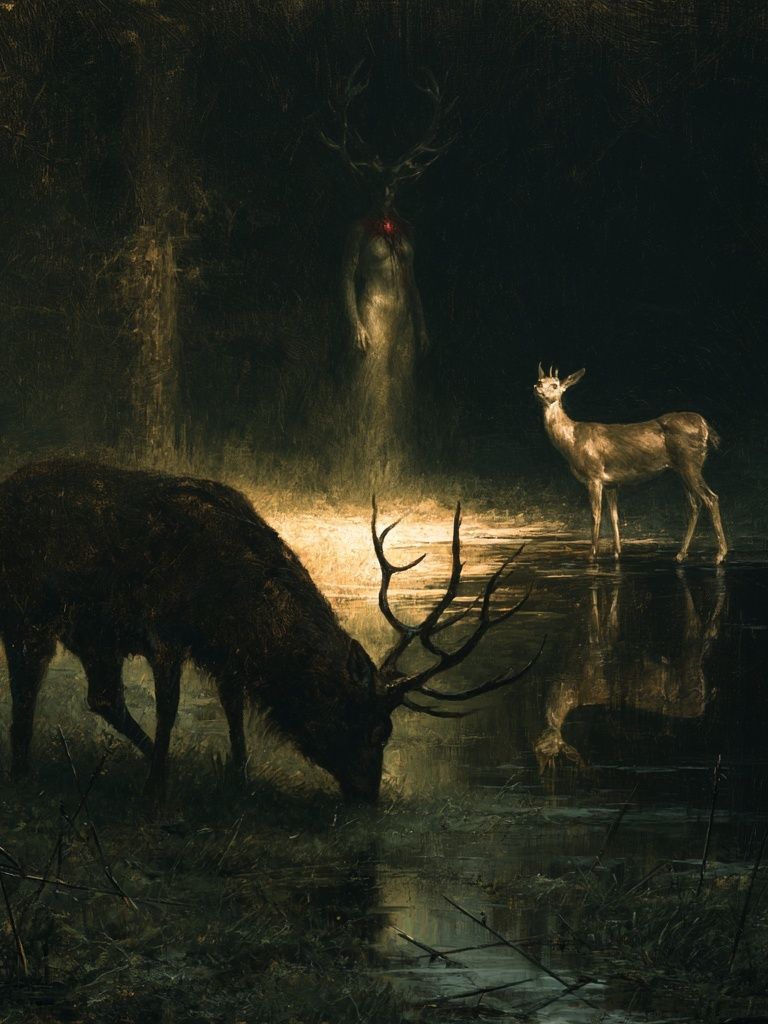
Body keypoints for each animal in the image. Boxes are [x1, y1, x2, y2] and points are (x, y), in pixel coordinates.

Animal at [0, 458, 538, 801]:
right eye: (374, 729)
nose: (370, 796)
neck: (232, 602)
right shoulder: (165, 631)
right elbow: (170, 708)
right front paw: (157, 787)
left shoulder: (222, 651)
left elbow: (233, 705)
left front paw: (237, 777)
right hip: (28, 612)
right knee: (28, 686)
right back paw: (24, 771)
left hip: (93, 635)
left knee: (101, 696)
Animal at [534, 365, 728, 563]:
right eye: (539, 381)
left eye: (555, 385)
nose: (537, 388)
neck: (572, 441)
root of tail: (705, 425)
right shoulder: (611, 483)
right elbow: (614, 516)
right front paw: (617, 552)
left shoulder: (594, 475)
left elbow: (595, 515)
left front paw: (591, 555)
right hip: (682, 470)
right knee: (694, 505)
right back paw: (681, 554)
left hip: (690, 464)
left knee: (711, 498)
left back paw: (720, 554)